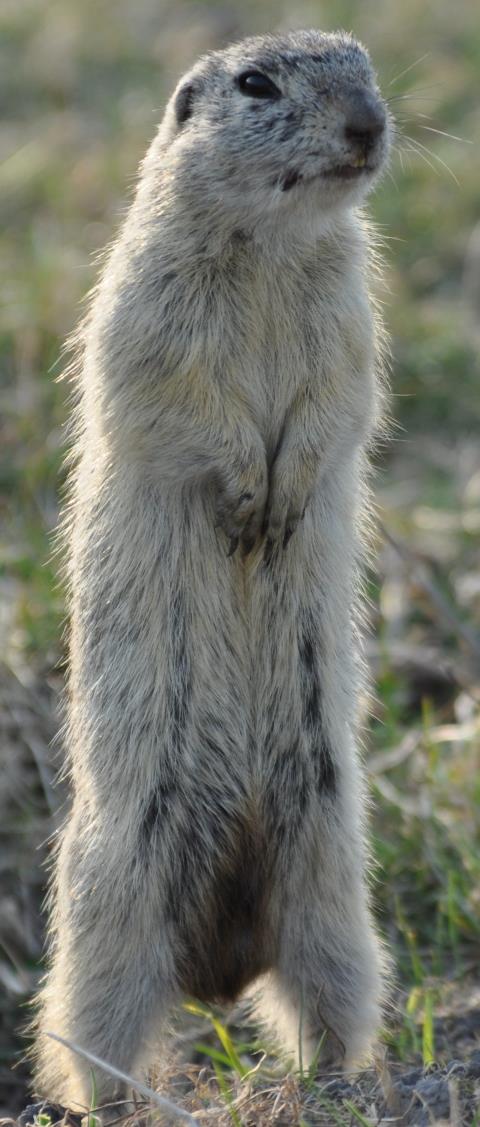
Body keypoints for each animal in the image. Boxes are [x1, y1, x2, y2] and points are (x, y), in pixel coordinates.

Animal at [35, 30, 392, 1113]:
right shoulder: (150, 307)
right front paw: (244, 493)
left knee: (325, 996)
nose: (370, 124)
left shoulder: (353, 318)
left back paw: (340, 1081)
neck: (275, 244)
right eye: (256, 84)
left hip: (332, 885)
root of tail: (216, 968)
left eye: (364, 61)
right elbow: (182, 400)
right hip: (111, 905)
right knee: (94, 1034)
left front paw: (284, 496)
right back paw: (113, 1103)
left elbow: (339, 400)